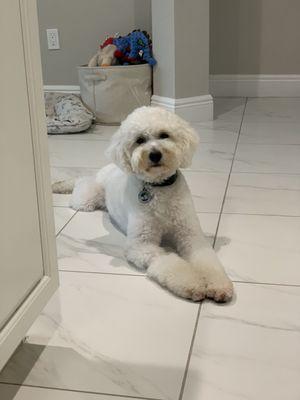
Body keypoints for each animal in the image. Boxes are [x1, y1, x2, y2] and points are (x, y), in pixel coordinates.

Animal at [52, 108, 233, 302]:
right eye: (139, 140)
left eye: (164, 135)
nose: (155, 154)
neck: (159, 189)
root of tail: (107, 167)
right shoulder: (142, 244)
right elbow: (169, 261)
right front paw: (192, 283)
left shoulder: (190, 234)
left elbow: (206, 260)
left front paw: (217, 284)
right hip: (87, 198)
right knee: (81, 183)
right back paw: (61, 185)